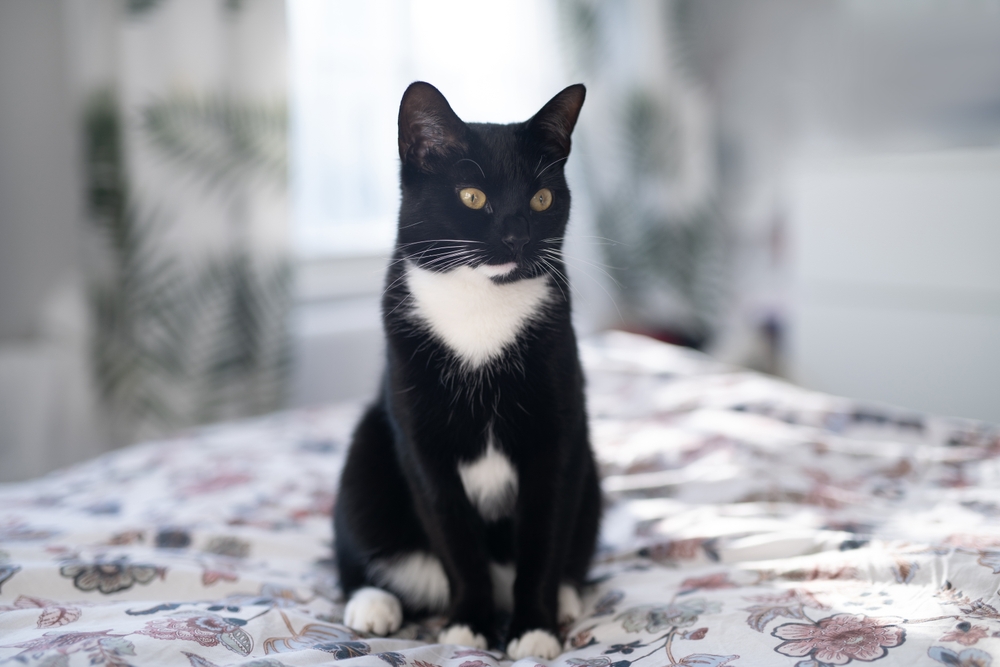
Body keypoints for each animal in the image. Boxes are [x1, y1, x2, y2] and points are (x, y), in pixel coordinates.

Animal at [334, 81, 600, 660]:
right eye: (472, 197)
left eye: (541, 199)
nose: (517, 236)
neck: (481, 306)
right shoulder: (421, 443)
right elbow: (453, 536)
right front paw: (467, 626)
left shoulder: (558, 433)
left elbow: (544, 534)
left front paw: (534, 628)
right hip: (369, 447)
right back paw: (373, 602)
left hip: (590, 468)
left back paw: (568, 598)